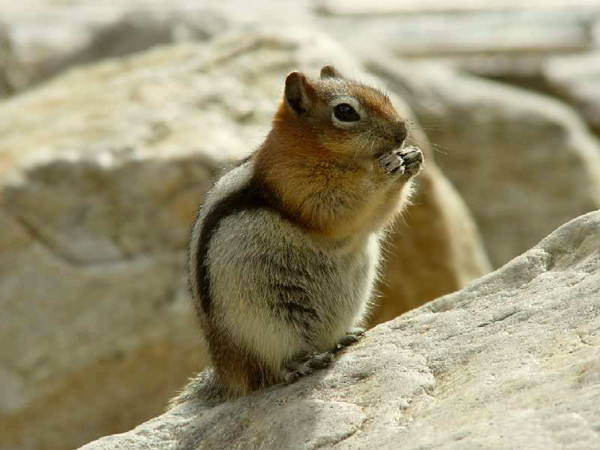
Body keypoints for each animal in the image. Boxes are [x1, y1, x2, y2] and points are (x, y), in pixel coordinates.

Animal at [170, 64, 422, 404]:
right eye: (345, 111)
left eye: (382, 95)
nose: (401, 133)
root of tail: (228, 373)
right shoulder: (296, 185)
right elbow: (338, 209)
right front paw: (385, 170)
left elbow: (375, 218)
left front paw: (412, 158)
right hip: (269, 326)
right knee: (271, 370)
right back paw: (302, 364)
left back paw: (344, 338)